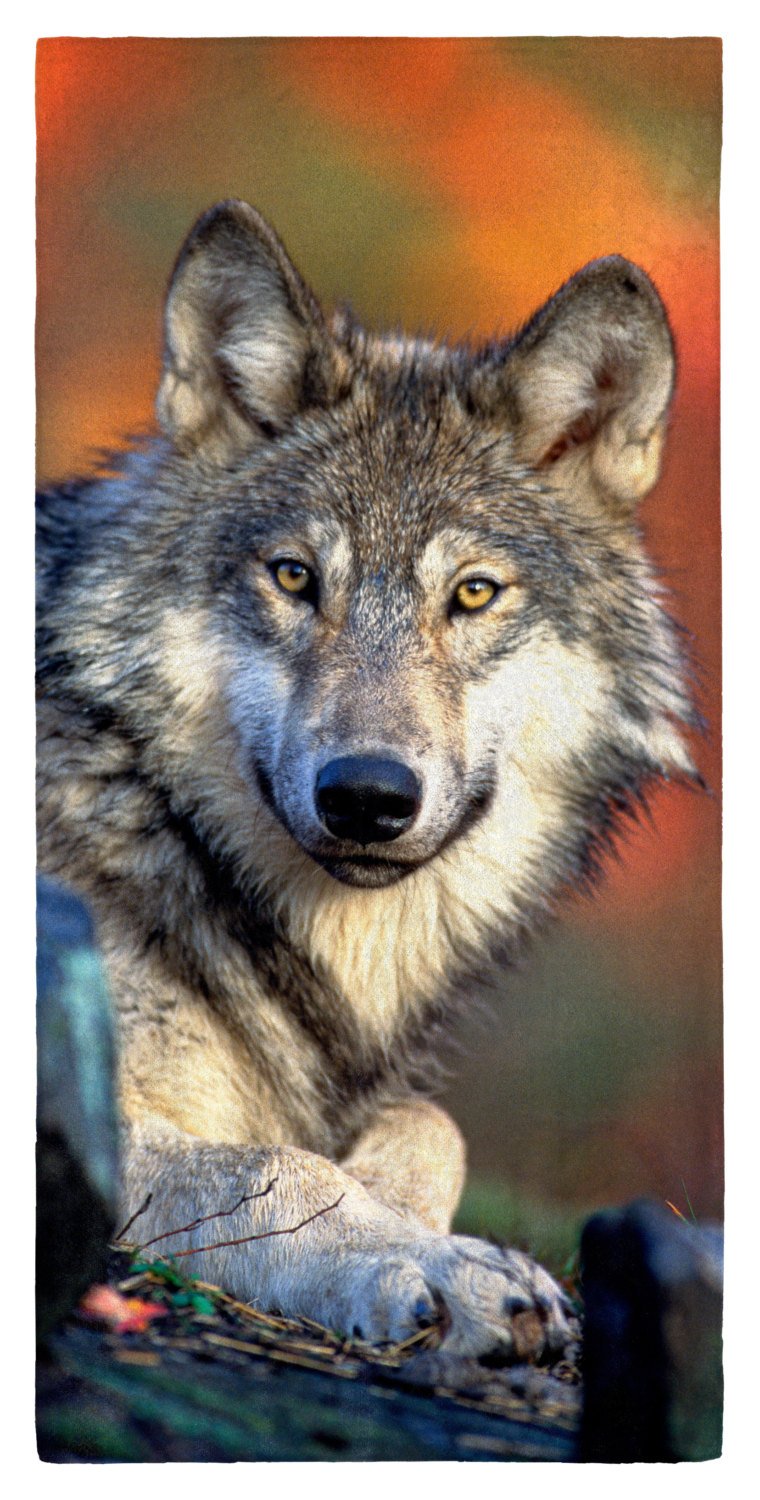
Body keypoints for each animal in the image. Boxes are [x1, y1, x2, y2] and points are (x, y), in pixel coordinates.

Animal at [37, 200, 697, 1360]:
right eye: (295, 577)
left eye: (473, 594)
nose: (367, 796)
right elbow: (269, 1166)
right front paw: (435, 1265)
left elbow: (432, 1125)